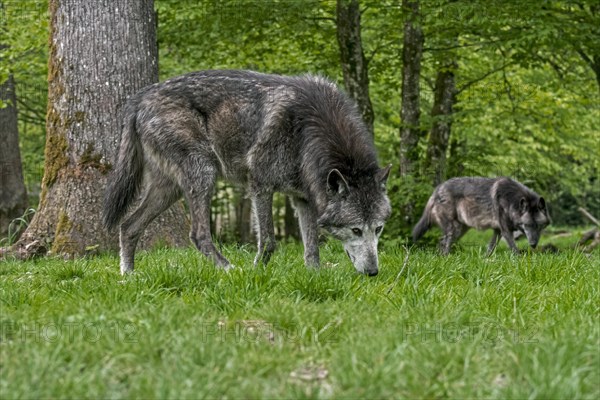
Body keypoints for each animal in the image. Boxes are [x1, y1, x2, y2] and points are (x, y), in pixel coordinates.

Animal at [102, 69, 394, 276]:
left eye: (378, 229)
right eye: (356, 230)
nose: (373, 273)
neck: (309, 130)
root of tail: (139, 98)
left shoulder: (302, 199)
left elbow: (312, 247)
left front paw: (315, 277)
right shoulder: (260, 186)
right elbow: (269, 241)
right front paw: (257, 273)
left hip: (168, 190)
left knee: (128, 226)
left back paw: (128, 276)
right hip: (204, 173)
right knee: (198, 235)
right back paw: (230, 270)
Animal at [412, 177, 548, 255]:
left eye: (538, 226)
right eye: (527, 225)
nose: (533, 245)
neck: (511, 201)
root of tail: (437, 190)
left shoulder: (498, 231)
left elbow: (491, 248)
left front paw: (485, 260)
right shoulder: (506, 231)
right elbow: (515, 250)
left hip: (459, 231)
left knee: (442, 242)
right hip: (453, 229)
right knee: (443, 241)